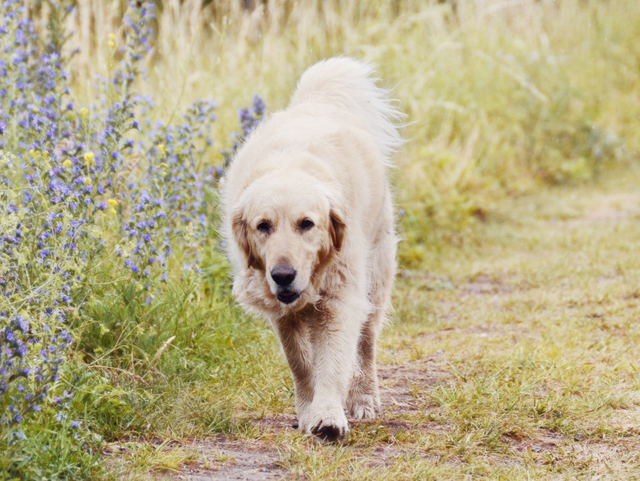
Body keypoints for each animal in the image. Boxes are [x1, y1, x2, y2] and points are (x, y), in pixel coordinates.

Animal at [220, 58, 400, 440]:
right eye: (263, 226)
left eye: (306, 224)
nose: (283, 275)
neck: (290, 164)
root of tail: (319, 99)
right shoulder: (281, 313)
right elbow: (301, 363)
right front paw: (307, 412)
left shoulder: (339, 300)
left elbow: (332, 364)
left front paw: (328, 416)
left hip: (375, 280)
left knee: (366, 345)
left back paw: (364, 400)